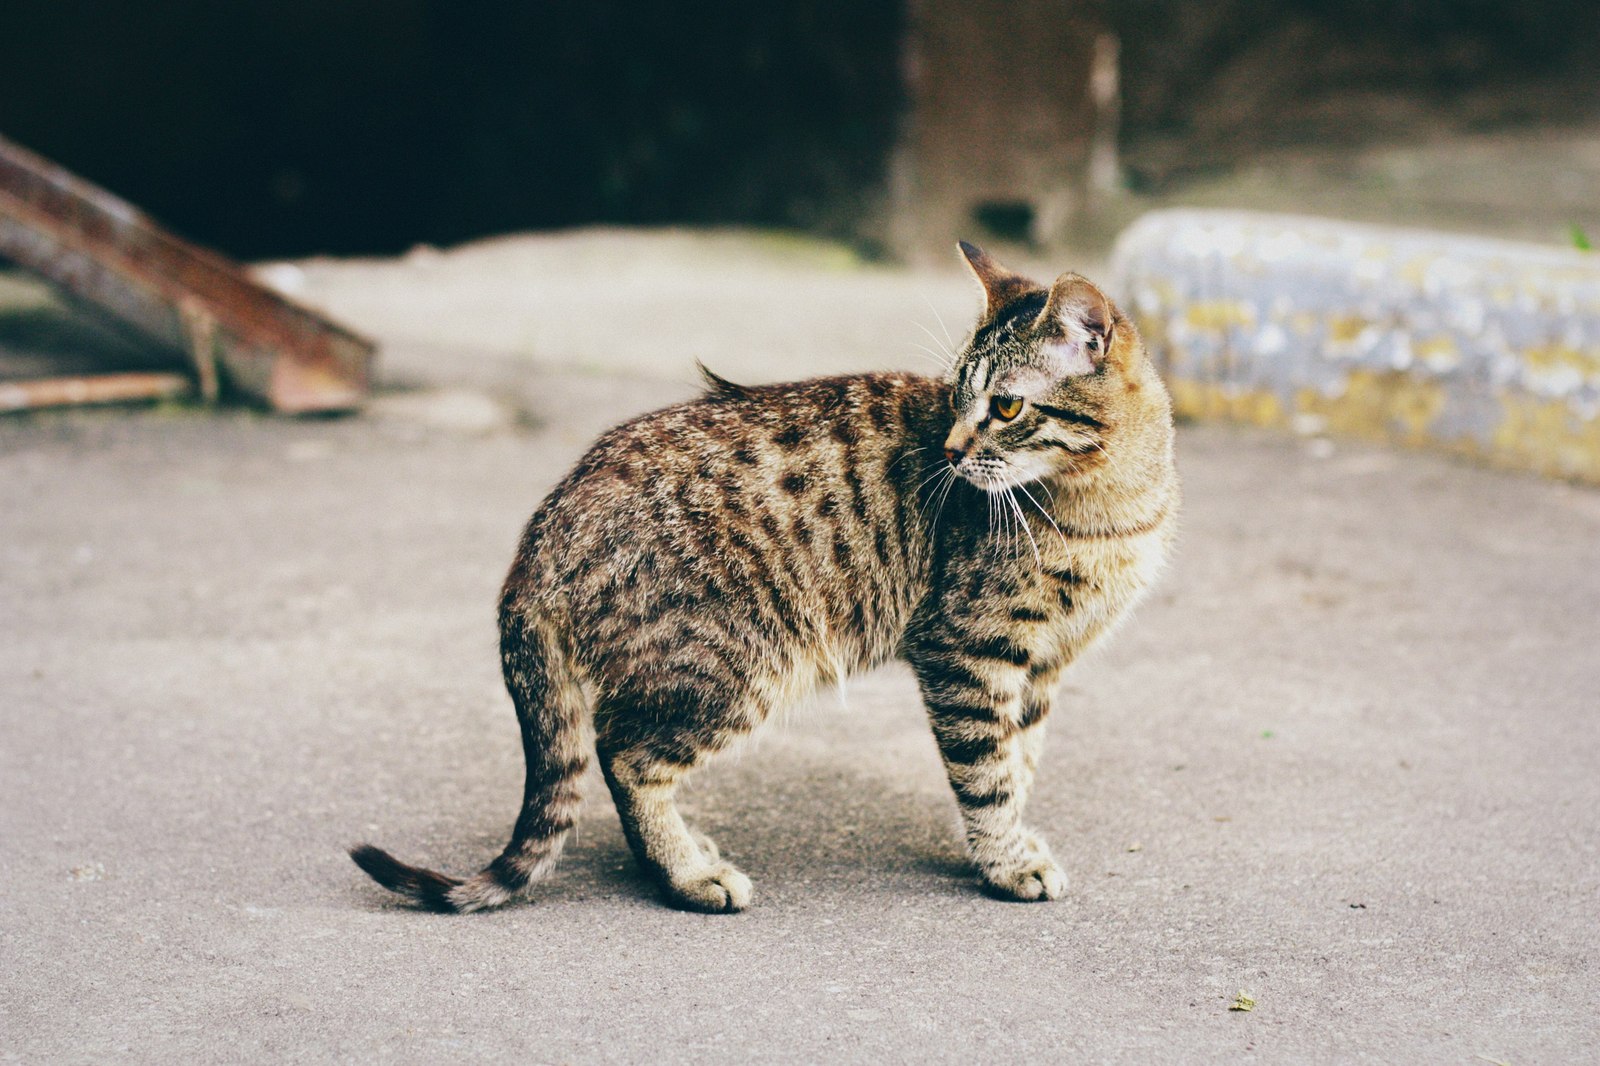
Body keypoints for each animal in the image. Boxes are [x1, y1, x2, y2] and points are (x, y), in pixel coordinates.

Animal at [350, 243, 1177, 915]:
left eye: (1004, 406)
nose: (949, 450)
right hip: (737, 662)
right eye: (954, 398)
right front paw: (1004, 858)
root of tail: (543, 525)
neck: (1110, 506)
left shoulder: (1043, 664)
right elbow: (986, 769)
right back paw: (686, 874)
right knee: (624, 754)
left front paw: (1010, 840)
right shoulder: (968, 651)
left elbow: (1019, 758)